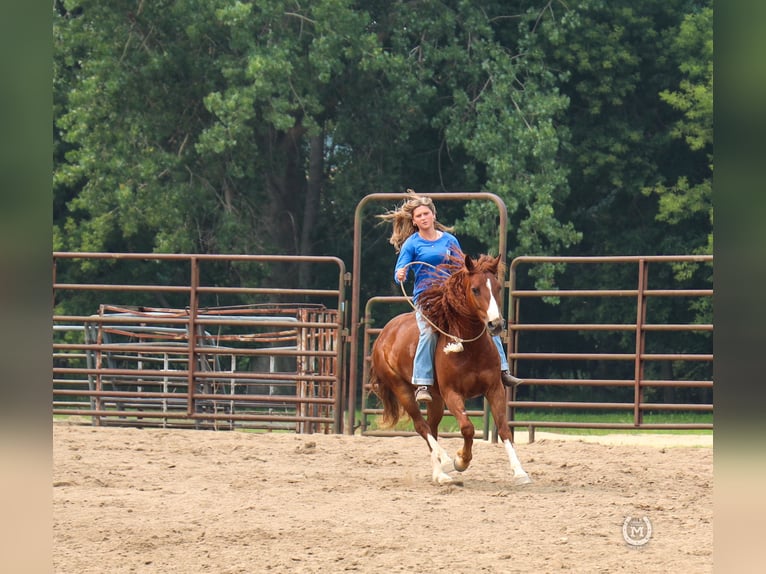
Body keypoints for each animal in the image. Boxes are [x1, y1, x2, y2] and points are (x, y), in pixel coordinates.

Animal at [370, 255, 528, 486]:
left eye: (498, 287)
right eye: (475, 289)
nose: (495, 324)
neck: (471, 348)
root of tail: (384, 334)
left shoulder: (495, 389)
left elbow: (503, 427)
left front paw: (519, 472)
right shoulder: (452, 393)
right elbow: (467, 428)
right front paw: (461, 460)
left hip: (435, 399)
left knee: (431, 427)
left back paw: (440, 474)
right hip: (402, 389)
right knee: (421, 426)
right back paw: (444, 460)